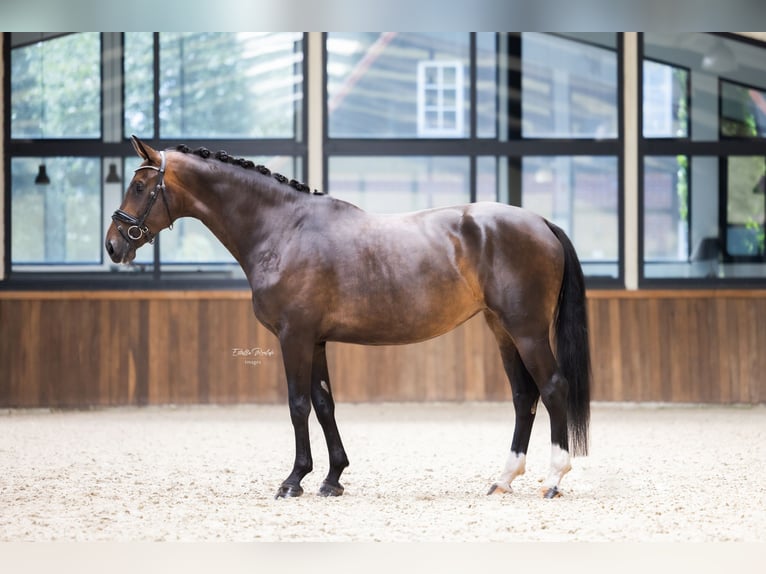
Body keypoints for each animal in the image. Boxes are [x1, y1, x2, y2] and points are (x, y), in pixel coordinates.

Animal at [103, 137, 592, 502]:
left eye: (141, 186)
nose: (113, 244)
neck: (283, 229)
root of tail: (540, 221)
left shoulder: (294, 337)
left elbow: (298, 405)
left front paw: (293, 481)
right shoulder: (316, 340)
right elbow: (324, 405)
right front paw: (332, 478)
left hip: (526, 330)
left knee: (552, 388)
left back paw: (554, 478)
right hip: (502, 330)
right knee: (523, 395)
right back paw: (504, 479)